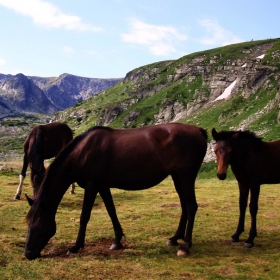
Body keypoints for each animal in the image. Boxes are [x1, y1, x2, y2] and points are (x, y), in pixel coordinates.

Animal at [24, 123, 208, 260]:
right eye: (27, 222)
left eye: (38, 224)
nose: (28, 254)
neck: (83, 152)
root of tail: (199, 130)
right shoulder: (102, 186)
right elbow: (111, 211)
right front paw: (117, 241)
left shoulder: (92, 186)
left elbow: (84, 216)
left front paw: (76, 246)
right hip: (177, 176)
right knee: (184, 206)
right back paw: (174, 238)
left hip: (186, 175)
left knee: (191, 206)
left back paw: (185, 245)